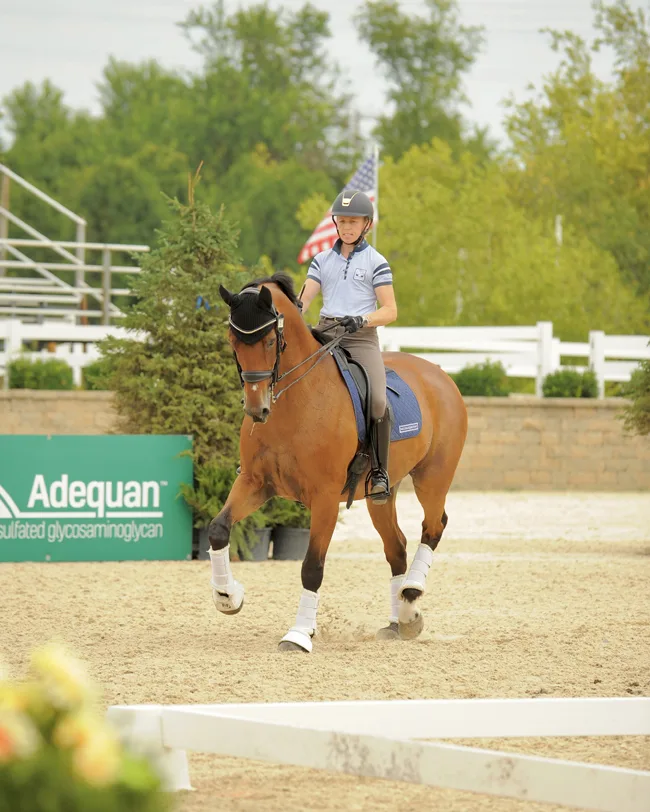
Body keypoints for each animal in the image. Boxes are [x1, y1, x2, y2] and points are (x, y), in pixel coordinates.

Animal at [208, 272, 466, 652]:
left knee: (433, 526)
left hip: (432, 477)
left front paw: (299, 634)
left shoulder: (325, 498)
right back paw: (399, 621)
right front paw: (228, 597)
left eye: (270, 341)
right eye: (233, 341)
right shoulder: (255, 484)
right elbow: (218, 529)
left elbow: (312, 567)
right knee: (396, 548)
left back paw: (411, 597)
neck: (296, 401)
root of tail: (439, 373)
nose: (257, 409)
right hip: (381, 494)